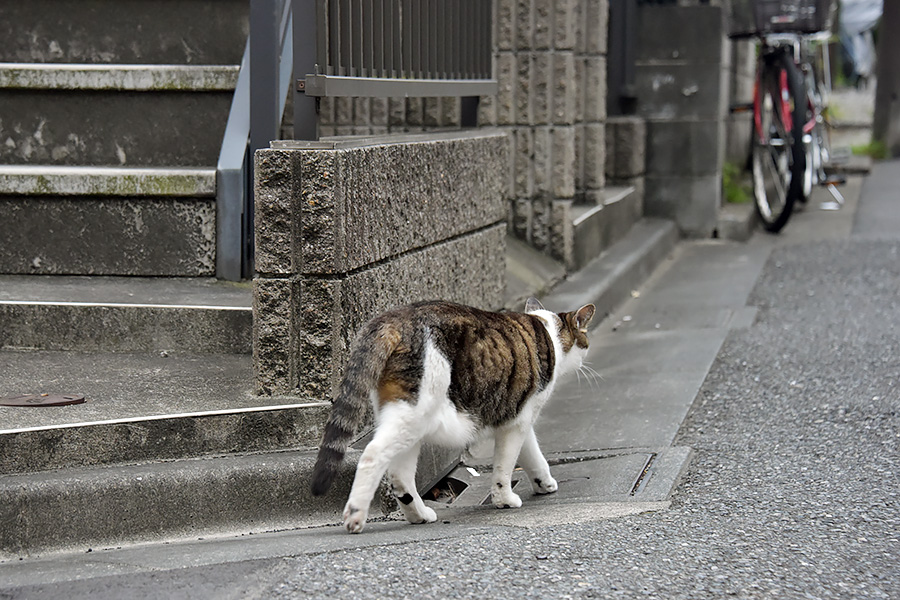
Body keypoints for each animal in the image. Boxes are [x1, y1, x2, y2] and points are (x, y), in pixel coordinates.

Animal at [306, 298, 596, 532]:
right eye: (585, 342)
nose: (584, 361)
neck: (549, 333)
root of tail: (396, 318)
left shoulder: (518, 417)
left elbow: (531, 453)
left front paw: (543, 483)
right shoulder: (518, 421)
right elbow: (505, 465)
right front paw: (504, 499)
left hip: (403, 416)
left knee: (399, 474)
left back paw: (419, 515)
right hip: (417, 412)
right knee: (372, 455)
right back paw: (355, 516)